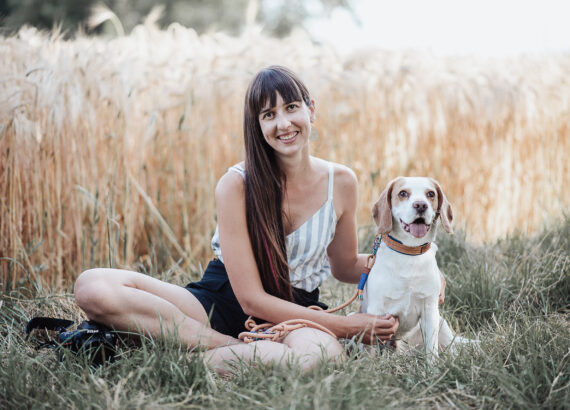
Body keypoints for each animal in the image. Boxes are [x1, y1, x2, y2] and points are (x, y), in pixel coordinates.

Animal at [362, 177, 464, 362]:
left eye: (430, 194)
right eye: (403, 193)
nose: (420, 205)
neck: (409, 252)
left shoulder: (430, 309)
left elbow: (431, 350)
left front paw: (432, 368)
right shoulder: (376, 312)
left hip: (441, 323)